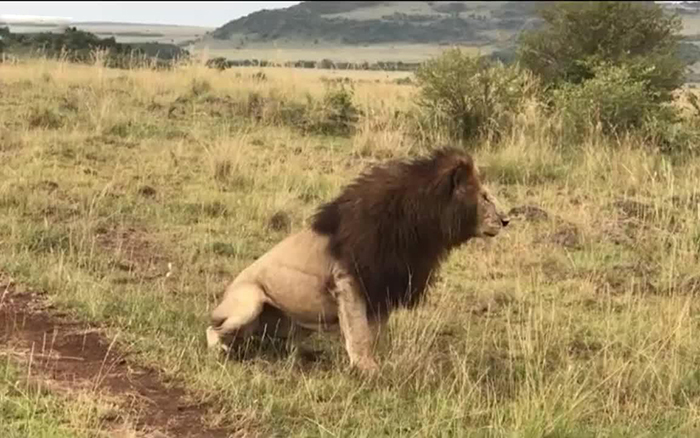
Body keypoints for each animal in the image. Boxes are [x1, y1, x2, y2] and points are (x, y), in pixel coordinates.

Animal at [206, 148, 508, 372]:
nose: (506, 220)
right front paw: (366, 368)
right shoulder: (349, 281)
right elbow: (359, 331)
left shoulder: (383, 288)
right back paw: (222, 350)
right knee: (212, 329)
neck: (420, 226)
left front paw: (377, 362)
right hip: (249, 302)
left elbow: (375, 333)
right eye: (484, 197)